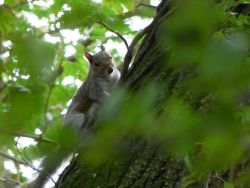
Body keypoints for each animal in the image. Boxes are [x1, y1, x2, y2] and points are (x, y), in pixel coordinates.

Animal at [21, 45, 120, 188]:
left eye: (110, 57)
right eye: (96, 64)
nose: (110, 69)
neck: (108, 78)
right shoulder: (94, 89)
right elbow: (100, 96)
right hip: (78, 119)